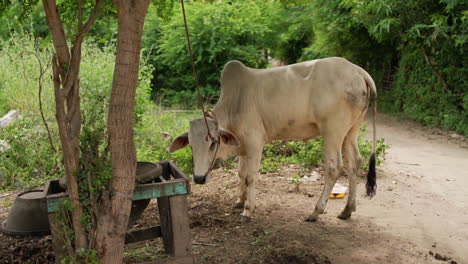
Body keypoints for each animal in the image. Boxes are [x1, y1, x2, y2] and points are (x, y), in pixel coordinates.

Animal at [169, 56, 376, 222]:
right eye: (191, 146)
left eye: (213, 142)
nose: (199, 178)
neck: (234, 104)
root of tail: (358, 71)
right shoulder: (243, 145)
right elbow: (240, 174)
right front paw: (239, 201)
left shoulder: (255, 142)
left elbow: (250, 177)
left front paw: (248, 210)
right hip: (350, 131)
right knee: (354, 163)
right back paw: (347, 210)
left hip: (332, 131)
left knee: (334, 168)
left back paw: (315, 212)